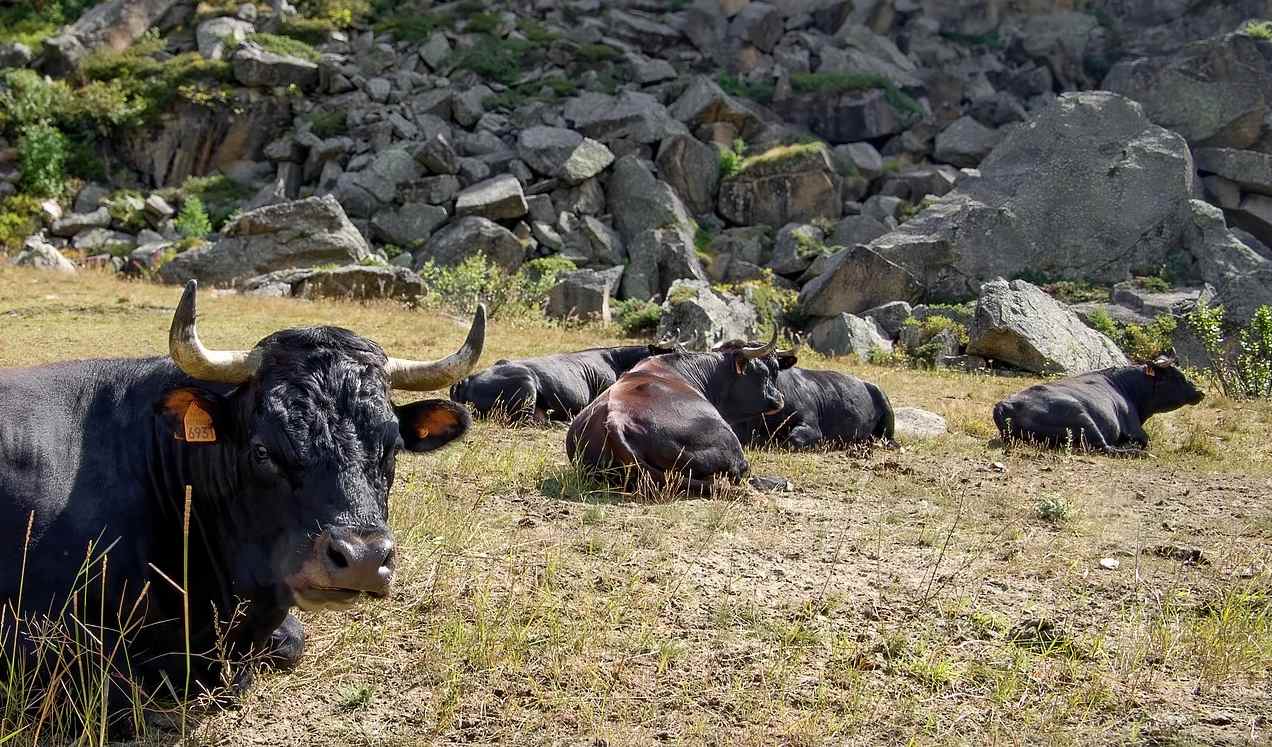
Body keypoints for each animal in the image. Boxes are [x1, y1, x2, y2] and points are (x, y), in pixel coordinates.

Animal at [992, 357, 1204, 455]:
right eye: (1176, 376)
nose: (1200, 391)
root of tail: (1005, 404)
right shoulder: (1134, 429)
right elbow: (1146, 439)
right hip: (1081, 417)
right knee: (1105, 447)